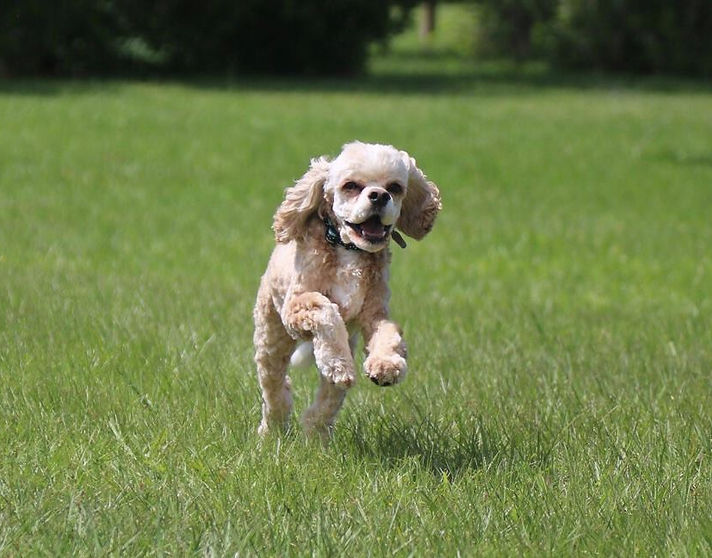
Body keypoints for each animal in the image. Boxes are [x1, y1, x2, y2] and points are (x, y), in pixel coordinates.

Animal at [250, 142, 440, 440]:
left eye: (395, 187)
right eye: (350, 186)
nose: (379, 196)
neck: (347, 248)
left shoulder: (373, 313)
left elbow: (388, 334)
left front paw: (386, 365)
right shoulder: (297, 306)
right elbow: (325, 310)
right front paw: (336, 363)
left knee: (330, 397)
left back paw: (315, 431)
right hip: (272, 333)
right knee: (274, 385)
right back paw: (274, 428)